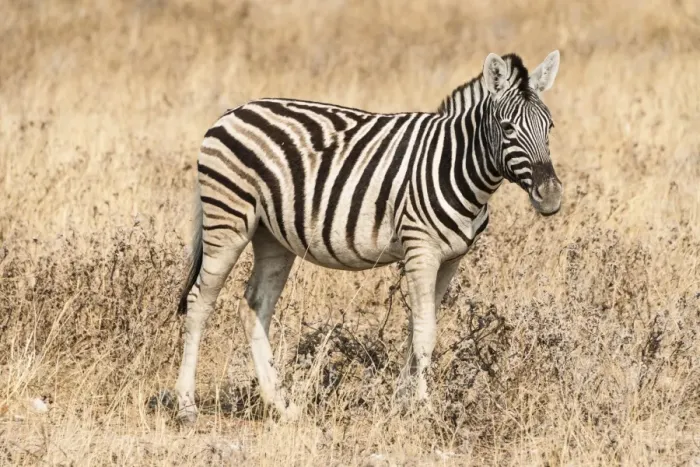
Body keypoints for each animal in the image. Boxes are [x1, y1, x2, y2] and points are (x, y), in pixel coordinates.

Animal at [174, 50, 562, 425]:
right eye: (507, 128)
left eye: (550, 127)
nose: (551, 196)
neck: (456, 165)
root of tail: (232, 111)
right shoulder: (421, 250)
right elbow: (426, 333)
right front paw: (423, 410)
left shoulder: (451, 259)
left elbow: (417, 329)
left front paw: (400, 405)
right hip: (228, 220)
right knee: (199, 302)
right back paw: (186, 406)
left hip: (272, 237)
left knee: (253, 307)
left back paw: (281, 406)